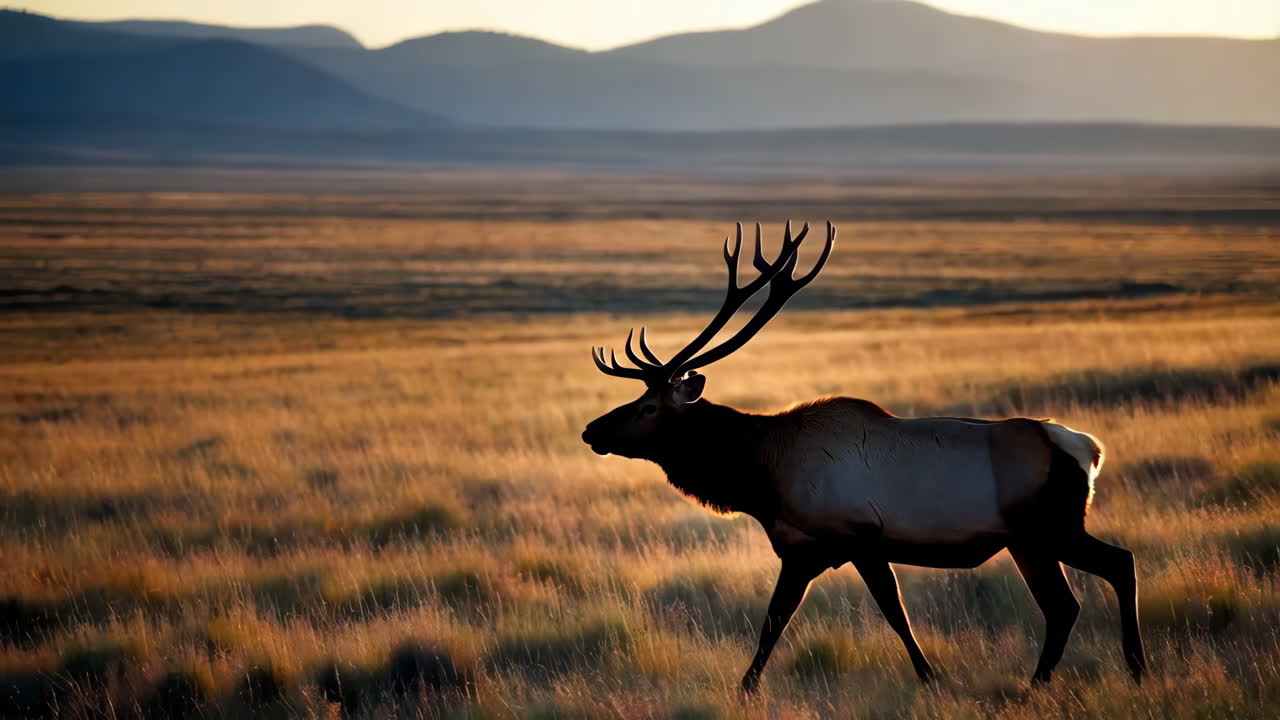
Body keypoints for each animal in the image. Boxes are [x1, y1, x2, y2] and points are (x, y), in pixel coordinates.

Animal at [581, 221, 1146, 693]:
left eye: (648, 405)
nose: (591, 430)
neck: (763, 478)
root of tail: (1088, 450)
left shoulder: (858, 536)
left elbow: (893, 611)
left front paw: (930, 677)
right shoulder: (802, 550)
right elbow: (773, 622)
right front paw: (746, 687)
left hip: (1046, 528)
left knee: (1105, 573)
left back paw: (1109, 671)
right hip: (1031, 539)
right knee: (1071, 599)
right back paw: (1068, 677)